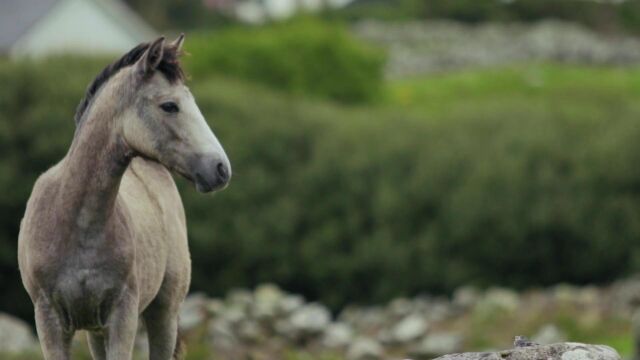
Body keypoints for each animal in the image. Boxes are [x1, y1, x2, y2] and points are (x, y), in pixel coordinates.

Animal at [15, 34, 232, 360]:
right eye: (170, 106)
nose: (220, 169)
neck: (76, 222)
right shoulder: (49, 318)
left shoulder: (122, 316)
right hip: (95, 331)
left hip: (164, 314)